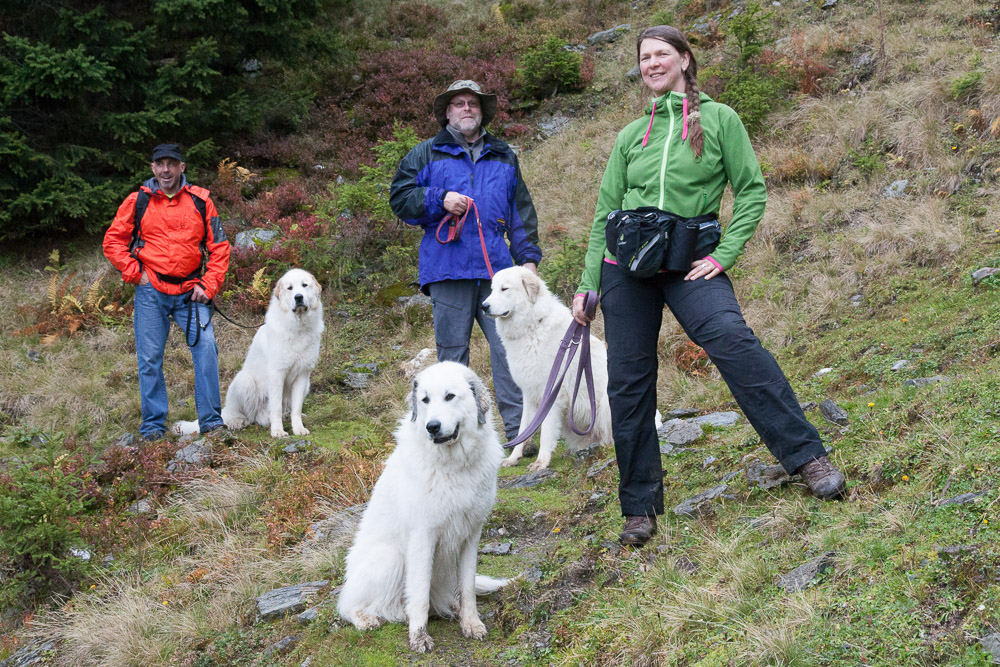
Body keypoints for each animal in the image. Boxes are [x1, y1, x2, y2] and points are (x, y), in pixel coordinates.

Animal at [173, 266, 324, 438]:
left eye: (304, 285)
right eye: (290, 288)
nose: (298, 297)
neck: (298, 327)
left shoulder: (302, 375)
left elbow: (296, 409)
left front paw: (298, 428)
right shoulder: (277, 374)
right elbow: (276, 408)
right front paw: (278, 431)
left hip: (306, 384)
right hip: (245, 381)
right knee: (247, 416)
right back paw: (238, 422)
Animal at [338, 362, 508, 656]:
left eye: (450, 396)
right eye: (425, 400)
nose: (432, 426)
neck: (452, 466)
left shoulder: (471, 535)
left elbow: (467, 587)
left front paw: (471, 623)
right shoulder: (422, 537)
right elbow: (418, 594)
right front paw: (419, 637)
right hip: (391, 557)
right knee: (348, 605)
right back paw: (366, 618)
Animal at [482, 266, 612, 470]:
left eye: (504, 289)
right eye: (492, 289)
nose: (483, 306)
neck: (533, 326)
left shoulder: (551, 393)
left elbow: (546, 431)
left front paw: (541, 462)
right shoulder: (529, 393)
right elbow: (524, 428)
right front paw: (514, 457)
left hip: (606, 402)